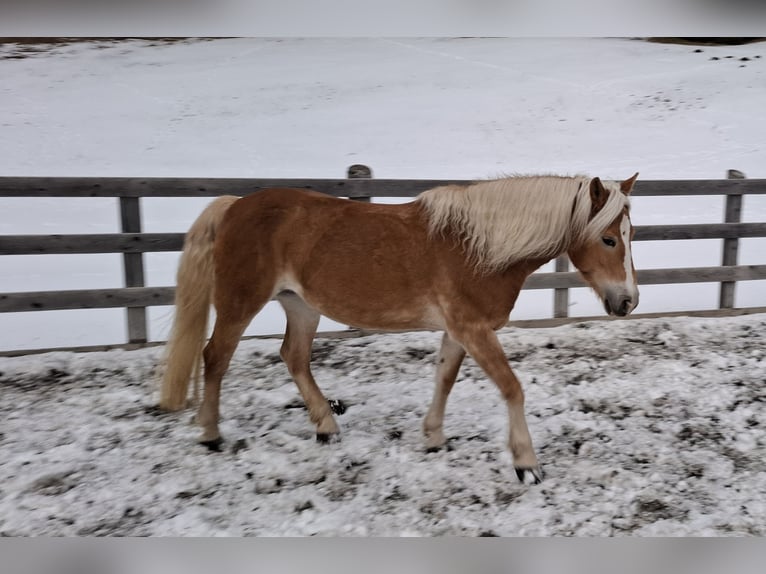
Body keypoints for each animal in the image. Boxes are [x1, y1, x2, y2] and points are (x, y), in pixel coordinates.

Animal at [159, 173, 640, 484]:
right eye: (608, 239)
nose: (628, 301)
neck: (478, 248)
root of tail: (234, 206)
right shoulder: (474, 329)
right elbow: (512, 388)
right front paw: (527, 464)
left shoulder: (459, 331)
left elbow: (444, 377)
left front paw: (433, 438)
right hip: (240, 304)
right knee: (215, 357)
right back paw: (211, 434)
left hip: (302, 306)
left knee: (293, 357)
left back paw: (326, 427)